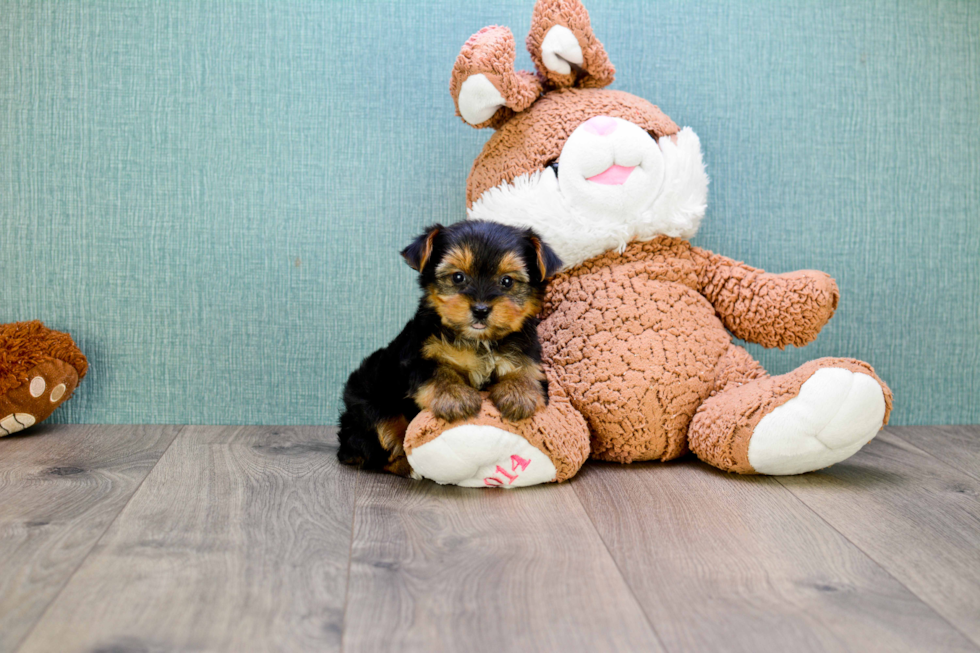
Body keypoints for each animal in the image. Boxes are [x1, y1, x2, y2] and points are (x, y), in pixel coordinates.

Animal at [340, 219, 564, 474]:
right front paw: (456, 397)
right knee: (382, 441)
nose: (480, 309)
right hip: (370, 402)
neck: (478, 340)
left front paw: (519, 393)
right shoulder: (420, 354)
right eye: (458, 277)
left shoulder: (527, 351)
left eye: (507, 281)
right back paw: (409, 468)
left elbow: (526, 370)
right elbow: (438, 372)